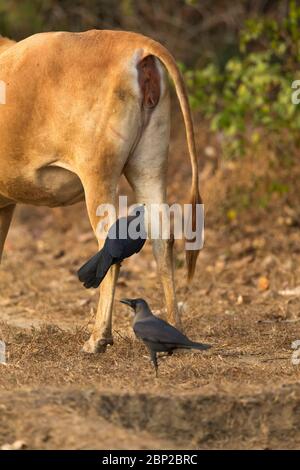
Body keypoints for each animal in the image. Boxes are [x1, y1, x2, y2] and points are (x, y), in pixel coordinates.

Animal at [1, 30, 202, 352]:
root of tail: (137, 45)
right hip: (150, 165)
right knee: (162, 237)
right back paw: (175, 330)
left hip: (97, 175)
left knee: (110, 241)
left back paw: (98, 338)